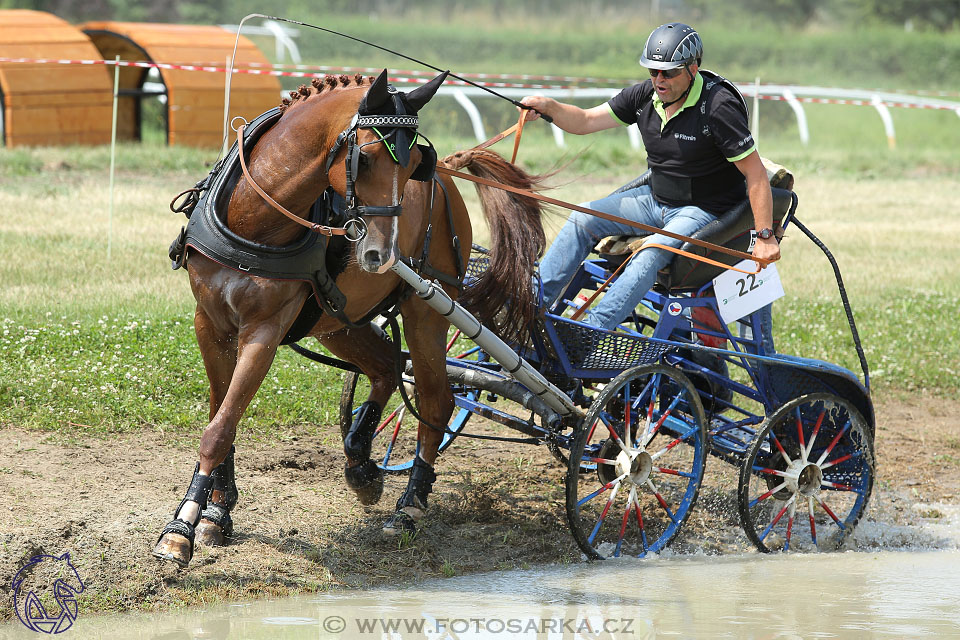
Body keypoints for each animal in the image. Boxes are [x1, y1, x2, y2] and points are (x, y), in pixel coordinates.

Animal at [151, 72, 544, 568]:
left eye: (413, 164)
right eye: (368, 157)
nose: (382, 254)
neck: (256, 216)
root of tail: (451, 177)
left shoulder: (264, 330)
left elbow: (219, 428)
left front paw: (179, 529)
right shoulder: (210, 323)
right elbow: (223, 416)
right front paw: (215, 513)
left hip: (426, 310)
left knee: (436, 401)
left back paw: (409, 506)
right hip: (340, 321)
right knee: (387, 367)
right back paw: (360, 461)